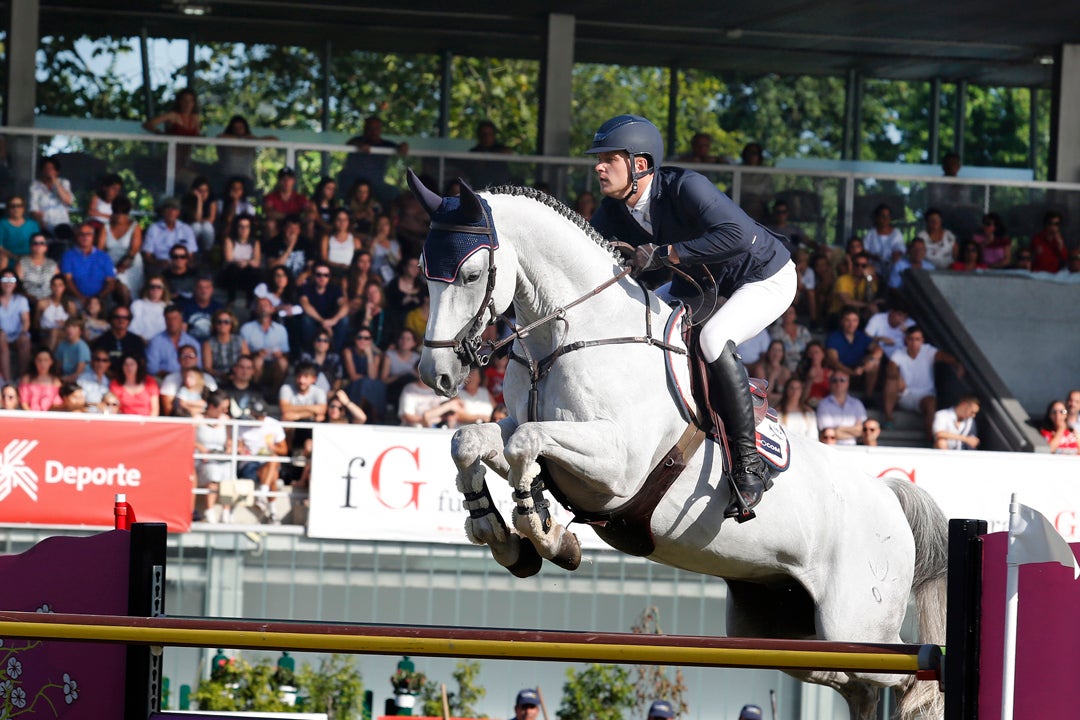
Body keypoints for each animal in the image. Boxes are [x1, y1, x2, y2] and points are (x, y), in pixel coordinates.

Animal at [408, 174, 950, 720]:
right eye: (425, 274)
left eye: (471, 274)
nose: (438, 375)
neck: (571, 336)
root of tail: (889, 497)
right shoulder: (528, 429)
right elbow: (470, 440)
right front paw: (498, 532)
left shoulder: (616, 468)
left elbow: (526, 444)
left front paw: (542, 532)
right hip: (784, 631)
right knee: (856, 683)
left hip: (857, 622)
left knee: (910, 680)